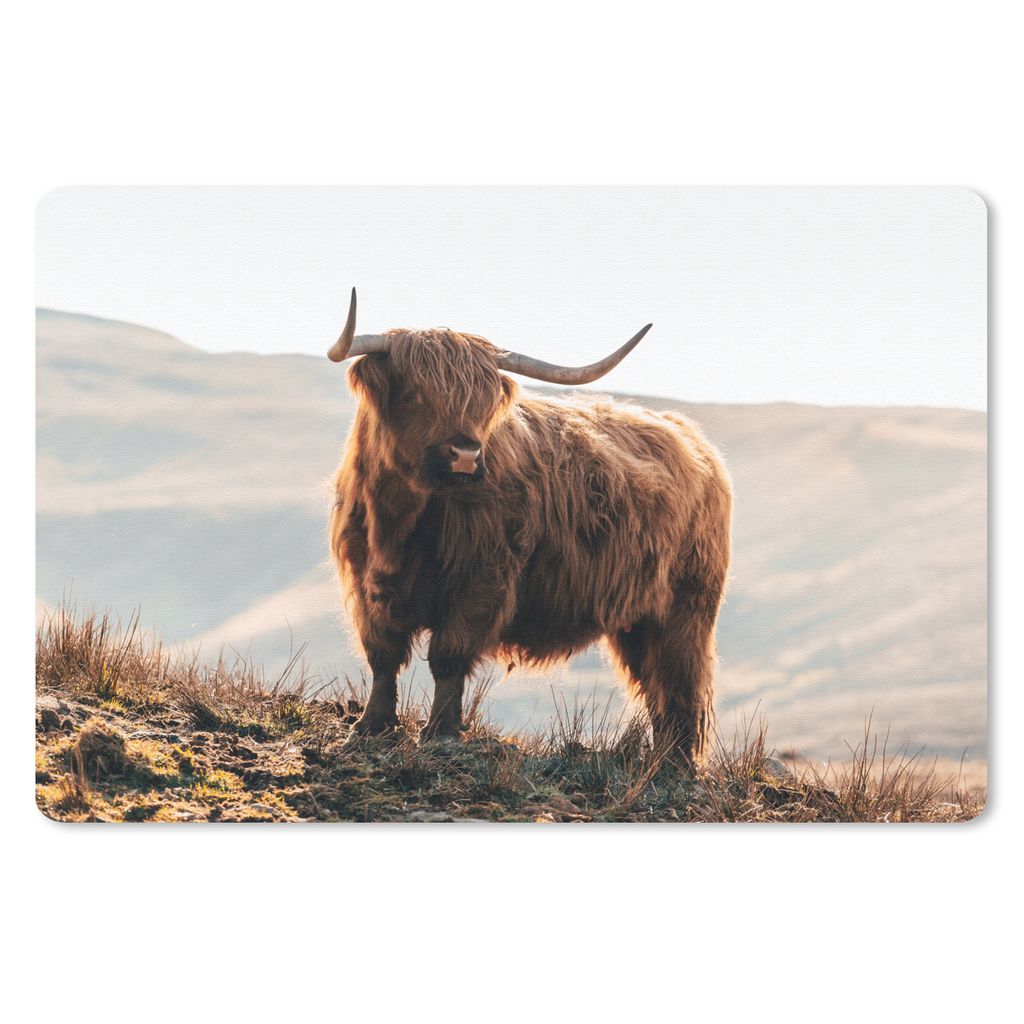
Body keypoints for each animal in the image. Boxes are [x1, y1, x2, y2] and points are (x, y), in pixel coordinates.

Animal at [328, 289, 731, 766]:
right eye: (415, 392)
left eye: (483, 401)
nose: (466, 454)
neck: (401, 520)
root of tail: (692, 439)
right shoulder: (367, 580)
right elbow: (382, 654)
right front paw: (371, 727)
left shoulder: (482, 580)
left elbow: (448, 656)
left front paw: (441, 733)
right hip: (638, 619)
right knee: (655, 684)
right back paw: (659, 760)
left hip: (687, 607)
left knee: (679, 681)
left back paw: (675, 764)